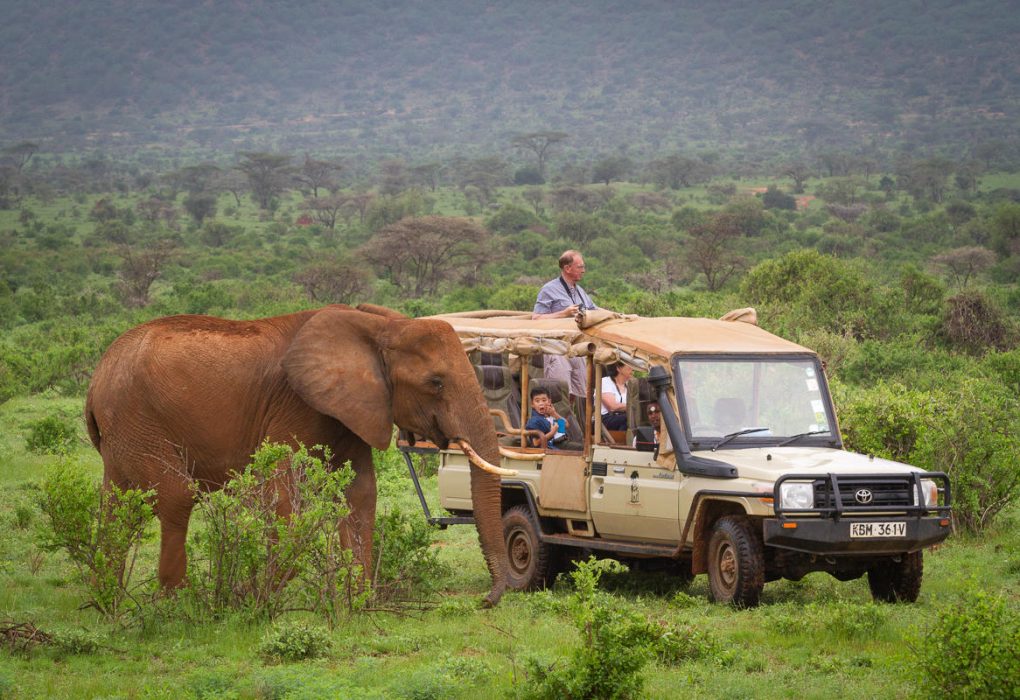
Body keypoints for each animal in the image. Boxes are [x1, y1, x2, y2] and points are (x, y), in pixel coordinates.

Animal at [85, 304, 512, 606]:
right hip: (137, 417)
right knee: (176, 496)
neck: (379, 327)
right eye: (435, 383)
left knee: (116, 504)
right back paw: (177, 603)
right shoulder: (295, 405)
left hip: (123, 431)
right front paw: (254, 598)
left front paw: (358, 601)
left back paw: (109, 599)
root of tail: (98, 374)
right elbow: (283, 491)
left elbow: (360, 493)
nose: (485, 600)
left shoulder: (353, 409)